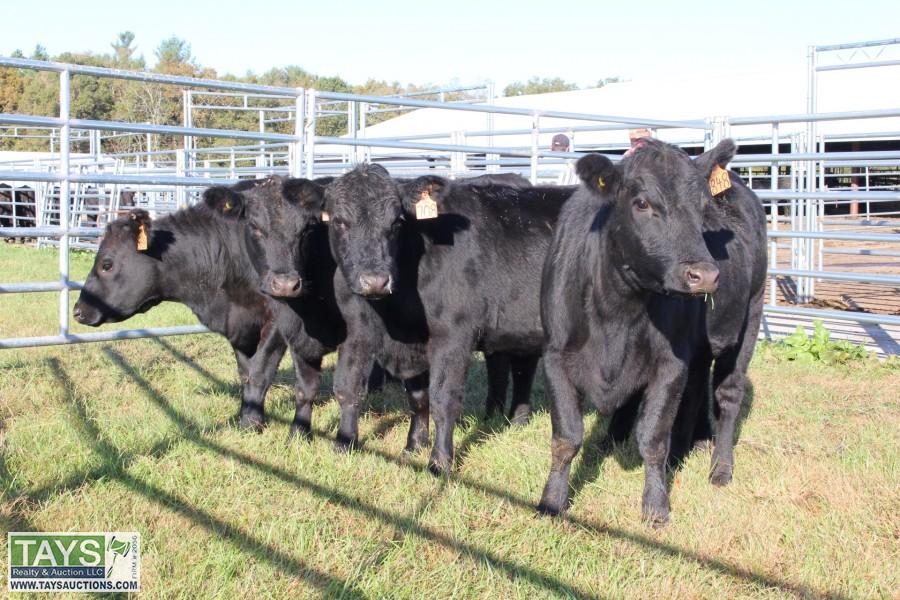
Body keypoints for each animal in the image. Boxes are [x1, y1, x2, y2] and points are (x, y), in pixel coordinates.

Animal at [323, 164, 574, 471]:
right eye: (339, 221)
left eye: (396, 223)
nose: (375, 281)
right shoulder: (358, 333)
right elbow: (364, 390)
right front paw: (363, 445)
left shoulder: (453, 336)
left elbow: (443, 399)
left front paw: (439, 461)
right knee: (520, 367)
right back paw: (514, 421)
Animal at [536, 139, 725, 526]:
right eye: (641, 203)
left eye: (703, 208)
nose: (704, 275)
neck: (618, 307)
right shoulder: (554, 357)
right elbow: (566, 437)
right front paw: (552, 500)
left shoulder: (672, 365)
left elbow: (653, 440)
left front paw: (656, 505)